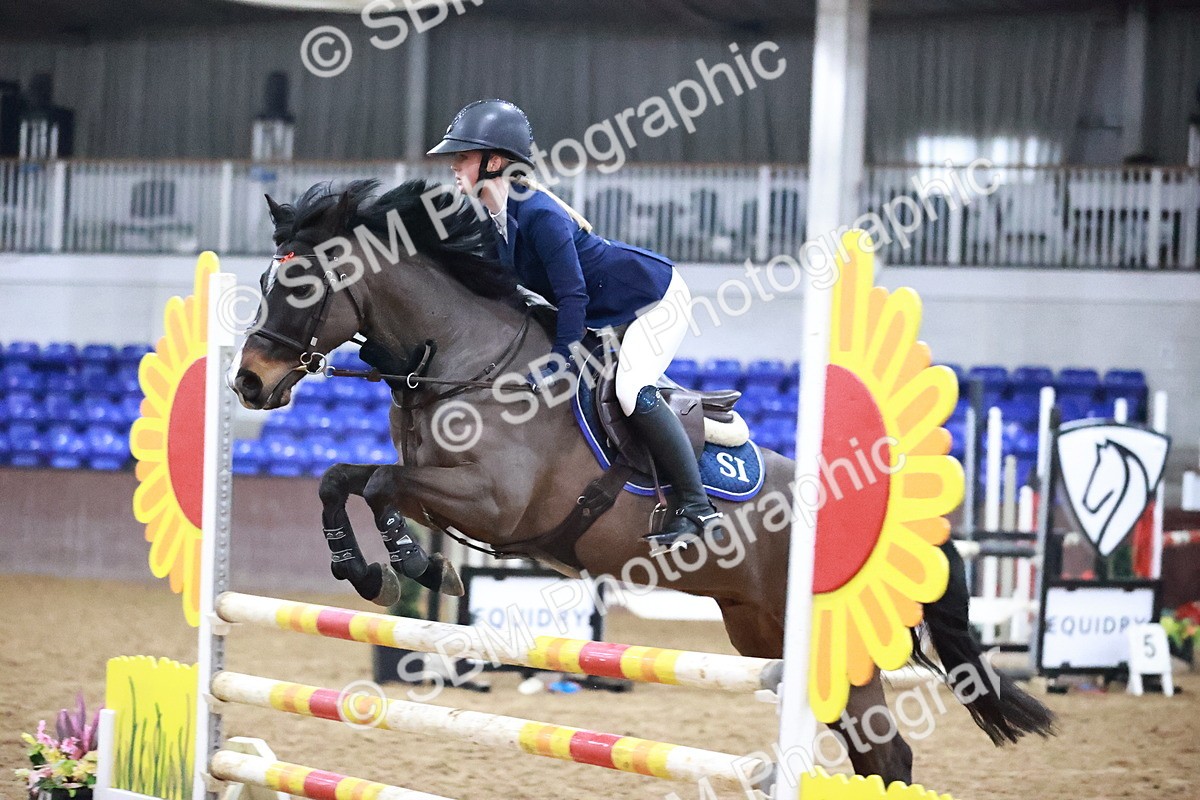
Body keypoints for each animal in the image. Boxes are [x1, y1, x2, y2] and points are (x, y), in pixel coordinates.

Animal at [229, 178, 1055, 784]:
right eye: (265, 279)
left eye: (301, 286)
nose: (247, 382)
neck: (467, 359)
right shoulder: (439, 485)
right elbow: (341, 478)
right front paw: (361, 567)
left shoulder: (494, 503)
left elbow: (377, 486)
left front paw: (412, 564)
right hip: (763, 632)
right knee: (871, 749)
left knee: (887, 751)